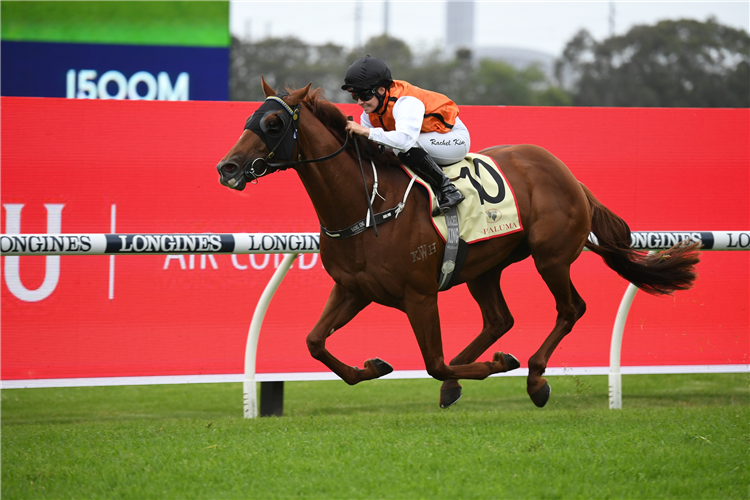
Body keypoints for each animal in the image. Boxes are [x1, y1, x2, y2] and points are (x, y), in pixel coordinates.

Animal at [217, 81, 704, 410]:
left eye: (274, 123)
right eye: (249, 119)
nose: (228, 167)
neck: (368, 206)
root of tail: (564, 172)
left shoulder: (419, 295)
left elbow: (433, 361)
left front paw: (498, 365)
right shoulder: (353, 289)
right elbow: (315, 343)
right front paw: (371, 368)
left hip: (550, 257)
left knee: (570, 309)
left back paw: (533, 378)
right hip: (485, 266)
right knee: (498, 319)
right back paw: (461, 383)